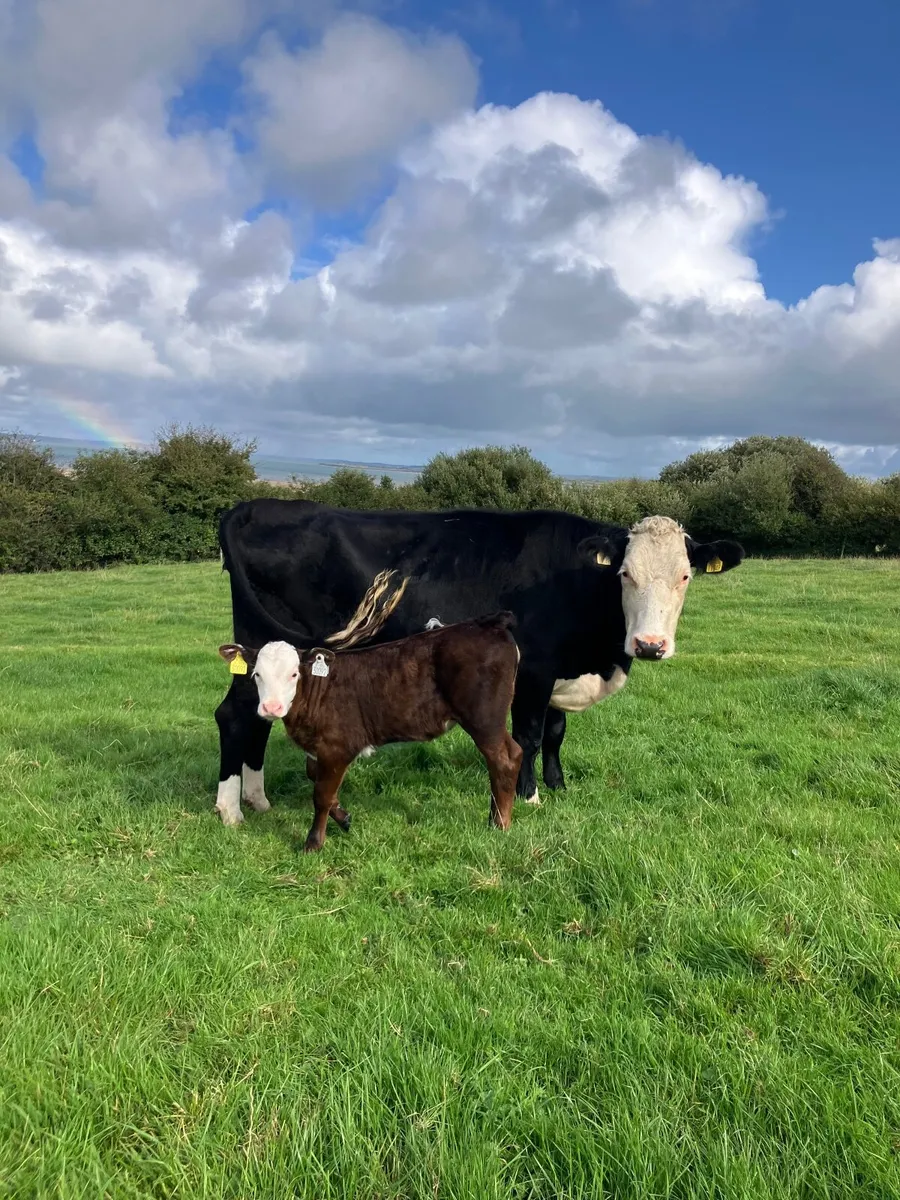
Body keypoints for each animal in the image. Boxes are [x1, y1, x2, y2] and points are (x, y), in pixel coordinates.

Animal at [215, 501, 744, 815]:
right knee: (235, 714)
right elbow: (529, 735)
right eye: (626, 574)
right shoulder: (533, 669)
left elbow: (556, 732)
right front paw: (530, 797)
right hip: (262, 648)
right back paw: (231, 809)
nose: (650, 645)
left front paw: (558, 786)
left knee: (259, 716)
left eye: (685, 576)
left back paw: (257, 798)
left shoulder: (558, 672)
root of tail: (254, 506)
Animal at [218, 612, 522, 851]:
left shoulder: (337, 746)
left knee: (504, 759)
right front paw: (344, 818)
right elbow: (317, 779)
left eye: (294, 674)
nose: (271, 707)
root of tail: (487, 623)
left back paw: (500, 824)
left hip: (484, 719)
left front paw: (313, 843)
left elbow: (321, 795)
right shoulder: (319, 750)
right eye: (256, 674)